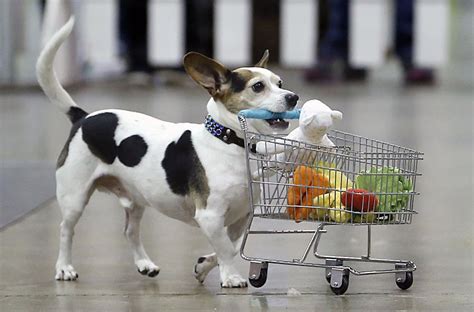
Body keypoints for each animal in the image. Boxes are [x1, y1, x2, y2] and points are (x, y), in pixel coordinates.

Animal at [37, 17, 298, 288]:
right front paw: (231, 277)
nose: (293, 97)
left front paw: (203, 266)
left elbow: (232, 247)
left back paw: (145, 264)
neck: (229, 142)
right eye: (258, 87)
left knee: (130, 231)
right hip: (74, 198)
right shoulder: (210, 216)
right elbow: (226, 249)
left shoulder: (241, 217)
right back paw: (64, 268)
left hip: (134, 198)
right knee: (66, 230)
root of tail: (83, 117)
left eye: (279, 83)